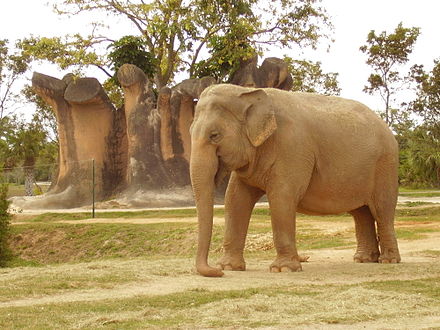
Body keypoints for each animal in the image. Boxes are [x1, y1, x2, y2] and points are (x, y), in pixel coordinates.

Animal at [191, 84, 400, 278]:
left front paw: (282, 269)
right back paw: (364, 260)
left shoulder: (292, 148)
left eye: (214, 135)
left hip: (385, 165)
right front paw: (229, 267)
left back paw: (388, 261)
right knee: (361, 213)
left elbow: (281, 198)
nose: (216, 272)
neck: (245, 91)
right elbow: (235, 200)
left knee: (382, 210)